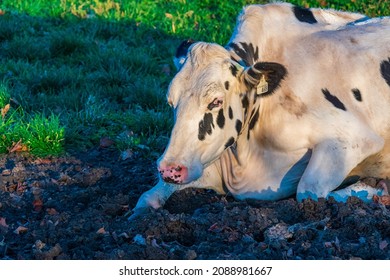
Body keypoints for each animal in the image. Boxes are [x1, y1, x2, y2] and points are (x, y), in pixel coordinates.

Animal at [132, 2, 390, 217]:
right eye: (170, 102)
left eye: (216, 101)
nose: (170, 168)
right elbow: (148, 196)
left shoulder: (353, 139)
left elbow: (310, 191)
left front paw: (376, 190)